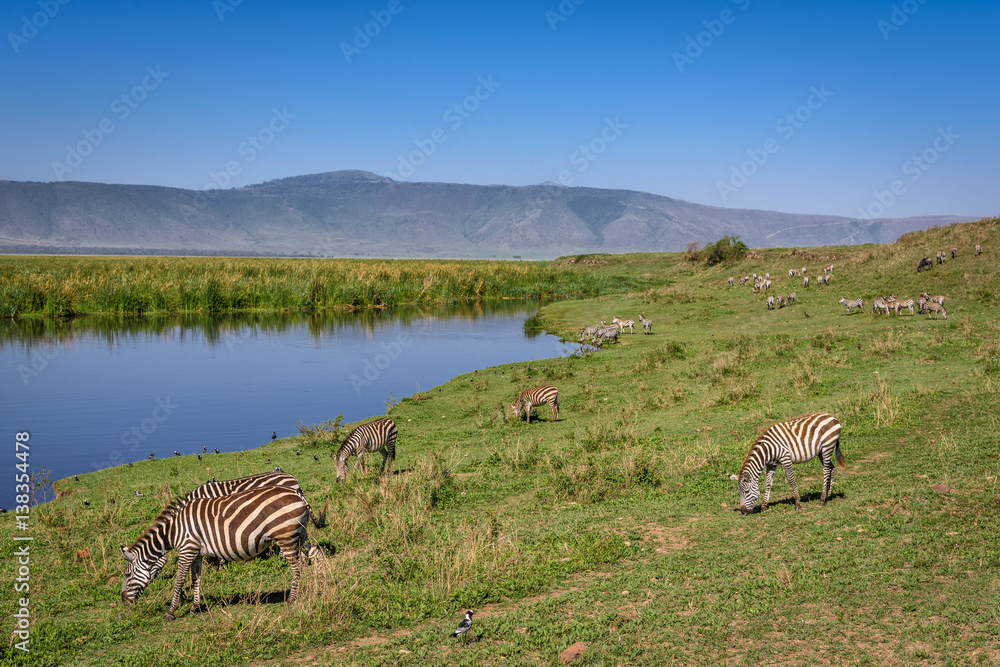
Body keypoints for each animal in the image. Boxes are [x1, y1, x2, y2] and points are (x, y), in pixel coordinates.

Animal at [120, 486, 311, 620]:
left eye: (127, 575)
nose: (124, 601)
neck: (173, 532)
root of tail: (297, 494)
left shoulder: (187, 550)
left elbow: (179, 581)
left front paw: (171, 611)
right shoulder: (196, 553)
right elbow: (195, 580)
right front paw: (195, 607)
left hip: (284, 535)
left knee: (296, 567)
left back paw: (291, 599)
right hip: (300, 534)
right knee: (304, 562)